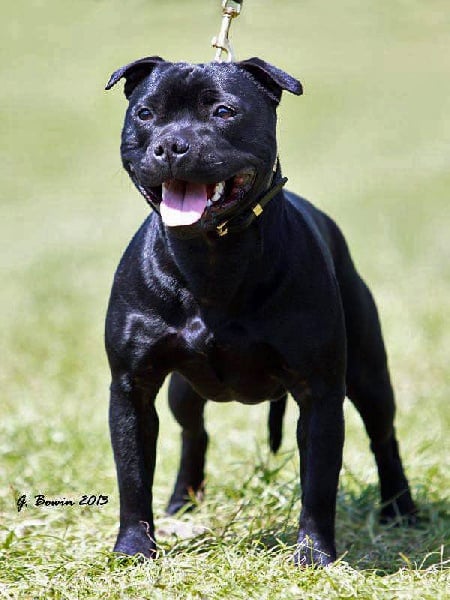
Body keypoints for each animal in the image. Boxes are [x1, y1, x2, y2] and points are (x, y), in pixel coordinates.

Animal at [104, 56, 416, 566]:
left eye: (224, 111)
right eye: (146, 114)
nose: (170, 146)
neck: (212, 258)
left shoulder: (320, 393)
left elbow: (319, 485)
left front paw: (314, 555)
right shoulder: (133, 389)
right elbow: (132, 477)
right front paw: (133, 548)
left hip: (369, 374)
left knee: (383, 436)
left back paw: (400, 509)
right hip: (182, 391)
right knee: (194, 433)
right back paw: (182, 502)